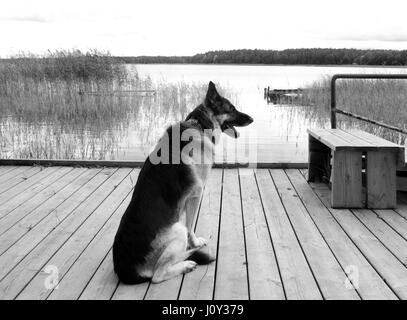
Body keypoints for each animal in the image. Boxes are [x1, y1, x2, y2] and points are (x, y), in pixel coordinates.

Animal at [113, 81, 253, 284]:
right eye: (232, 108)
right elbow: (191, 225)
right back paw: (186, 264)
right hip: (176, 231)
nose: (252, 119)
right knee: (158, 275)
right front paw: (195, 243)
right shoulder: (196, 194)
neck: (200, 125)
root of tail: (126, 270)